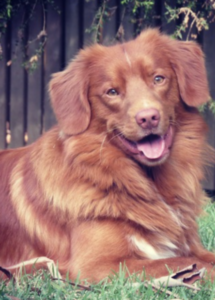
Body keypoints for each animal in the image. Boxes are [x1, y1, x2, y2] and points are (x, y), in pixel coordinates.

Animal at [0, 28, 215, 282]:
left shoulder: (190, 244)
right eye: (112, 92)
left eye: (158, 79)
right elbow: (186, 263)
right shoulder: (97, 266)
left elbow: (202, 258)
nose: (148, 117)